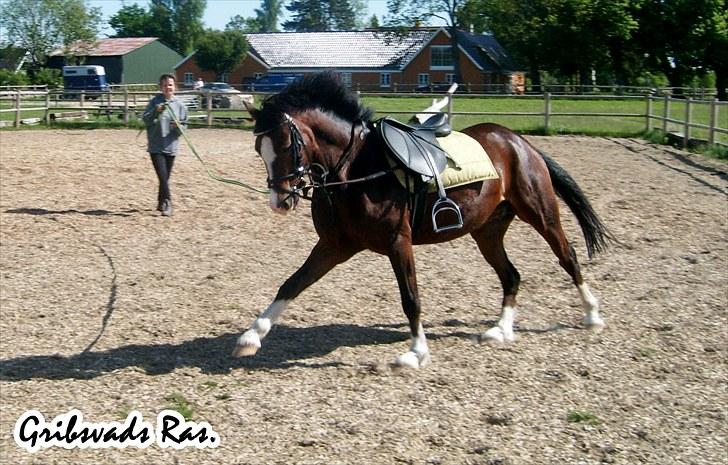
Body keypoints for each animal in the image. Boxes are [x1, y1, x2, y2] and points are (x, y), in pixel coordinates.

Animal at [235, 71, 616, 370]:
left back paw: (592, 316)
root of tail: (518, 141)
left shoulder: (397, 242)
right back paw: (501, 331)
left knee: (568, 258)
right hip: (487, 231)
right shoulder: (334, 245)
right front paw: (251, 336)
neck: (357, 169)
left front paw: (415, 353)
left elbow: (411, 297)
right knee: (511, 275)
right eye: (258, 149)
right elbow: (291, 284)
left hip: (540, 213)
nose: (280, 201)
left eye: (287, 145)